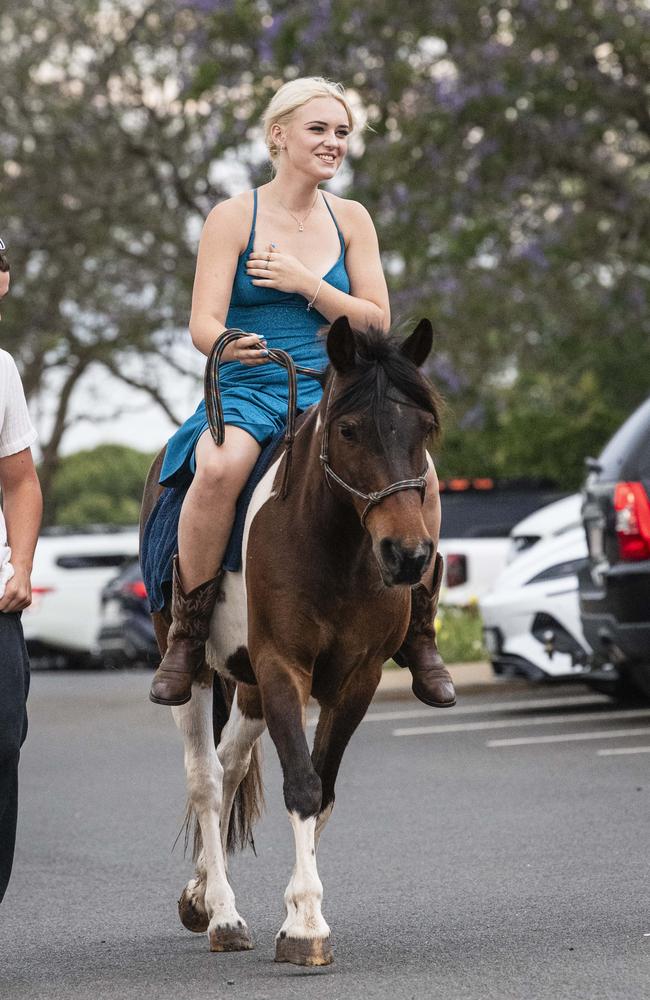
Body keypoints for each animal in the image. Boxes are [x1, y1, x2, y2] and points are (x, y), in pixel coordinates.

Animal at [139, 316, 438, 964]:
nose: (407, 556)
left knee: (228, 766)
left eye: (425, 429)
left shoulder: (357, 681)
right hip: (198, 669)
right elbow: (301, 783)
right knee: (205, 778)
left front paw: (299, 913)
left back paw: (201, 896)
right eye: (348, 429)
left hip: (249, 685)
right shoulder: (283, 667)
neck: (336, 548)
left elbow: (322, 788)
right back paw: (223, 913)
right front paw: (305, 926)